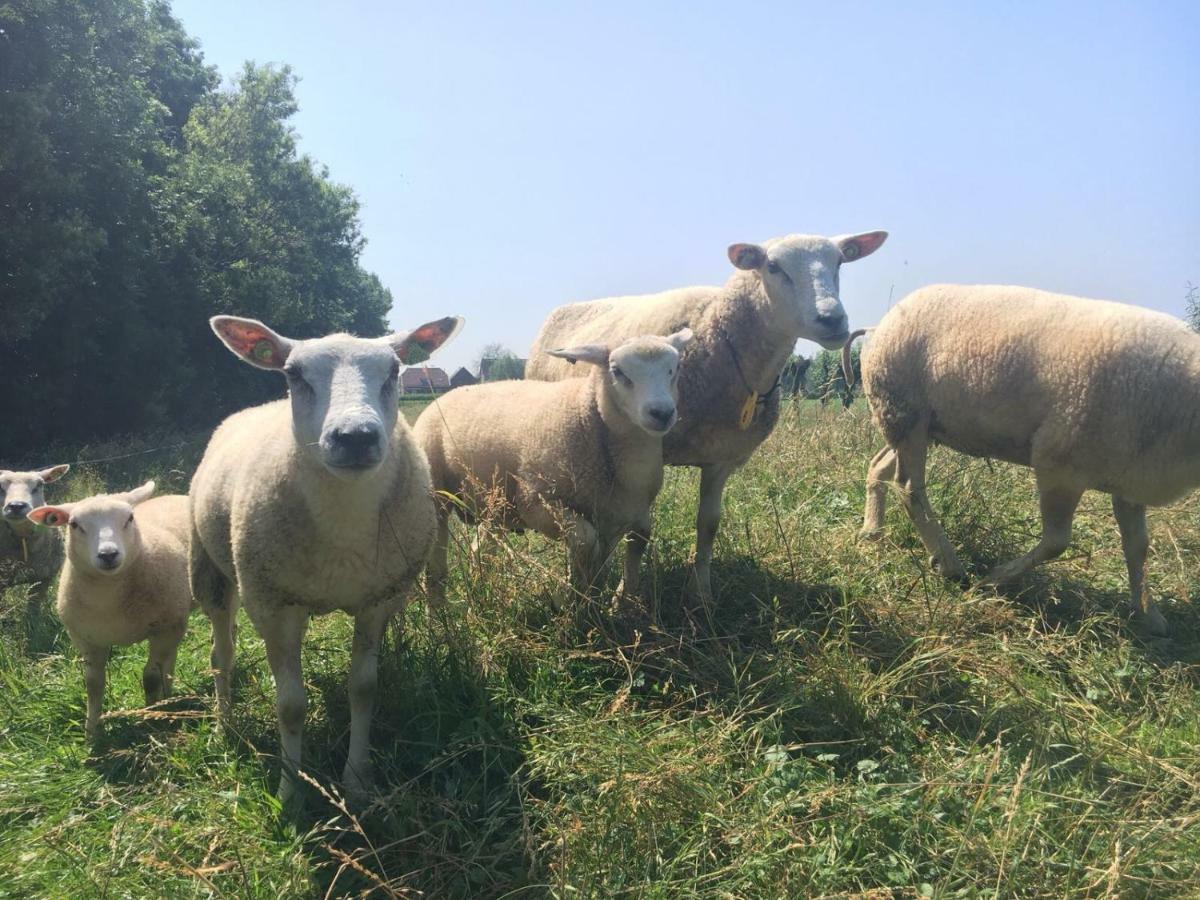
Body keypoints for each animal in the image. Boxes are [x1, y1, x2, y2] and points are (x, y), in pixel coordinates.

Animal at [27, 482, 192, 734]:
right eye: (74, 525)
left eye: (130, 518)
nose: (108, 554)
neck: (109, 599)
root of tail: (174, 496)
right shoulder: (86, 640)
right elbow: (93, 685)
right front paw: (92, 732)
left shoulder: (165, 628)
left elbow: (151, 677)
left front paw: (151, 717)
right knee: (169, 659)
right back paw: (169, 696)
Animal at [192, 314, 463, 806]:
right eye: (293, 374)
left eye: (394, 371)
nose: (355, 438)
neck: (343, 535)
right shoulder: (275, 606)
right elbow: (290, 705)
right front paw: (290, 791)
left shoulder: (377, 600)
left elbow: (364, 689)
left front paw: (356, 780)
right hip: (215, 573)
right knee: (222, 653)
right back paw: (224, 724)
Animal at [415, 328, 691, 607]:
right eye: (617, 371)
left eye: (676, 367)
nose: (662, 413)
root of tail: (449, 394)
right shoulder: (535, 502)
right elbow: (587, 542)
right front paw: (573, 598)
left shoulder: (624, 511)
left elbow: (636, 542)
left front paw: (617, 601)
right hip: (438, 498)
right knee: (436, 566)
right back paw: (438, 610)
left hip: (497, 504)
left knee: (479, 548)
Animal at [530, 230, 888, 607]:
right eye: (773, 267)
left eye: (840, 262)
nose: (832, 320)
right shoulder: (645, 454)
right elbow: (638, 532)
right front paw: (625, 596)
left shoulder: (721, 459)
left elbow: (709, 525)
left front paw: (701, 593)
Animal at [859, 285, 1200, 638]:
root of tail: (879, 325)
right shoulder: (1058, 464)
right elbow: (1056, 542)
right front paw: (992, 581)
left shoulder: (1130, 478)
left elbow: (1138, 546)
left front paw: (1149, 614)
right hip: (904, 410)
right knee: (909, 487)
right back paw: (950, 564)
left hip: (915, 424)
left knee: (879, 464)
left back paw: (872, 532)